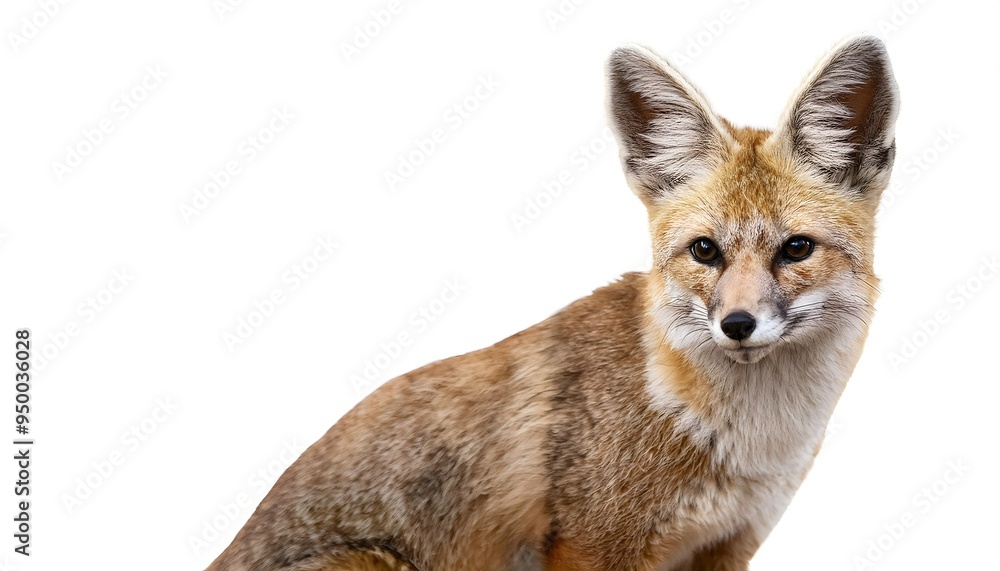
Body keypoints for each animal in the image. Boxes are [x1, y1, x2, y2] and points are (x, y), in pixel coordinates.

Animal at [207, 36, 899, 571]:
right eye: (705, 251)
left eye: (796, 249)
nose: (737, 324)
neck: (749, 440)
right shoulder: (594, 546)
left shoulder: (729, 545)